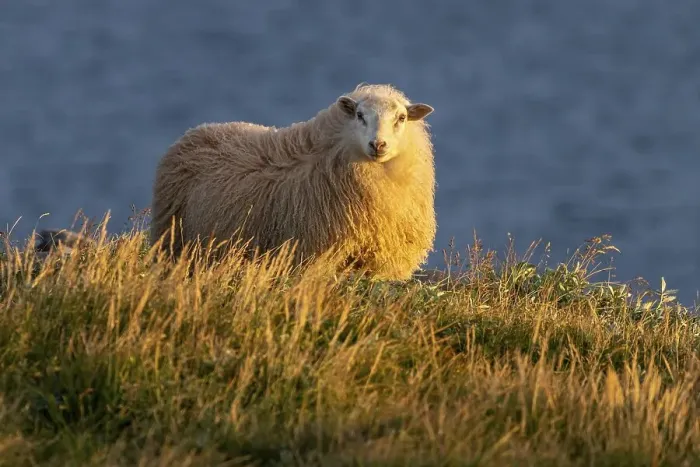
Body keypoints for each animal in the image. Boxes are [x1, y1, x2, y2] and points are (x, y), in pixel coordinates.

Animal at [150, 83, 436, 280]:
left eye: (401, 118)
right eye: (359, 115)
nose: (378, 144)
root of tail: (195, 132)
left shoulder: (384, 264)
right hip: (172, 238)